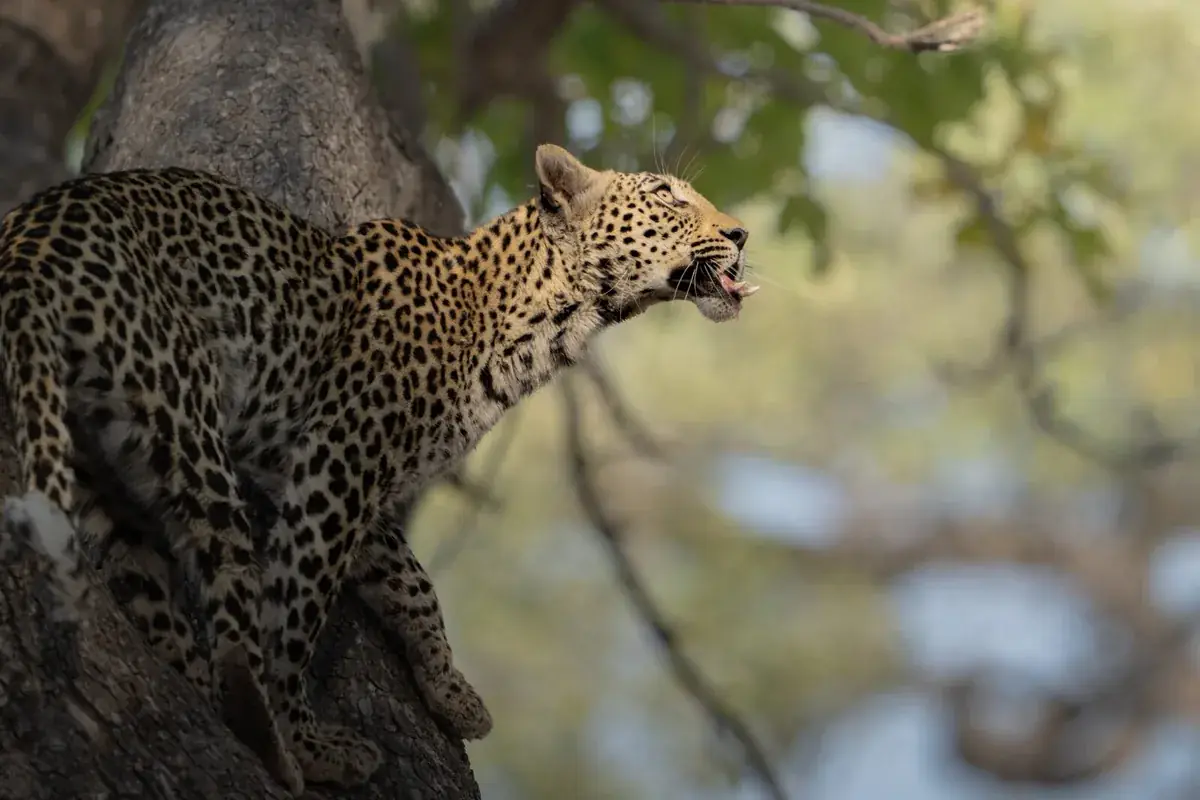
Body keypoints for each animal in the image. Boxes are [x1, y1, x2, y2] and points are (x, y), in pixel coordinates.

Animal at [0, 143, 758, 794]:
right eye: (667, 196)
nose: (743, 233)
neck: (536, 324)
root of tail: (29, 239)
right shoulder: (336, 458)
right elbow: (298, 608)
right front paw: (307, 734)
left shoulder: (349, 474)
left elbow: (411, 577)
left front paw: (452, 691)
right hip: (184, 417)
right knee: (234, 613)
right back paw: (278, 741)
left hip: (99, 467)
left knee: (151, 594)